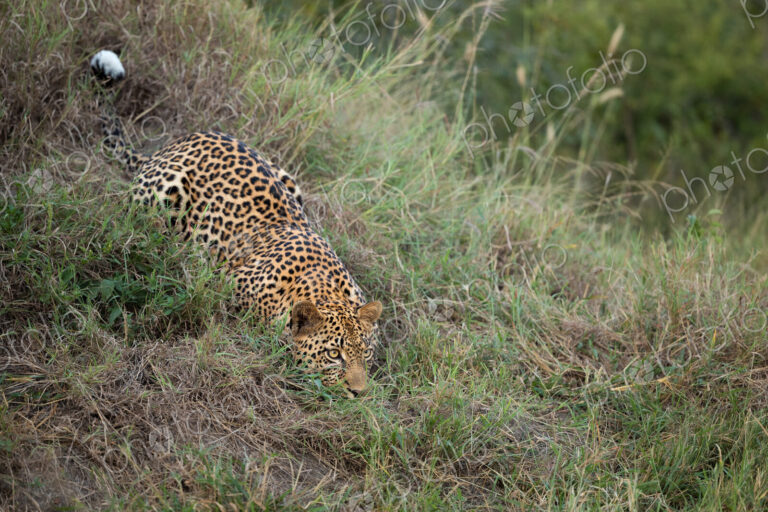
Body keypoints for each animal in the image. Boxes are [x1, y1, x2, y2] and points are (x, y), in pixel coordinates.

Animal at [90, 50, 382, 397]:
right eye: (334, 354)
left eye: (366, 352)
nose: (359, 393)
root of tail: (176, 142)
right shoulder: (226, 288)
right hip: (164, 192)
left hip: (288, 179)